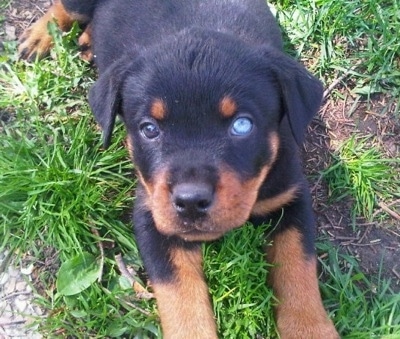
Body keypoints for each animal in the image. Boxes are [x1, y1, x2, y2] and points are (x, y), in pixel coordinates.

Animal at [18, 1, 340, 338]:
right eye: (149, 129)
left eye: (242, 125)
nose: (191, 201)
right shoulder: (152, 214)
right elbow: (180, 296)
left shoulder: (290, 197)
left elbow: (298, 267)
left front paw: (310, 328)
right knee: (64, 9)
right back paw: (38, 38)